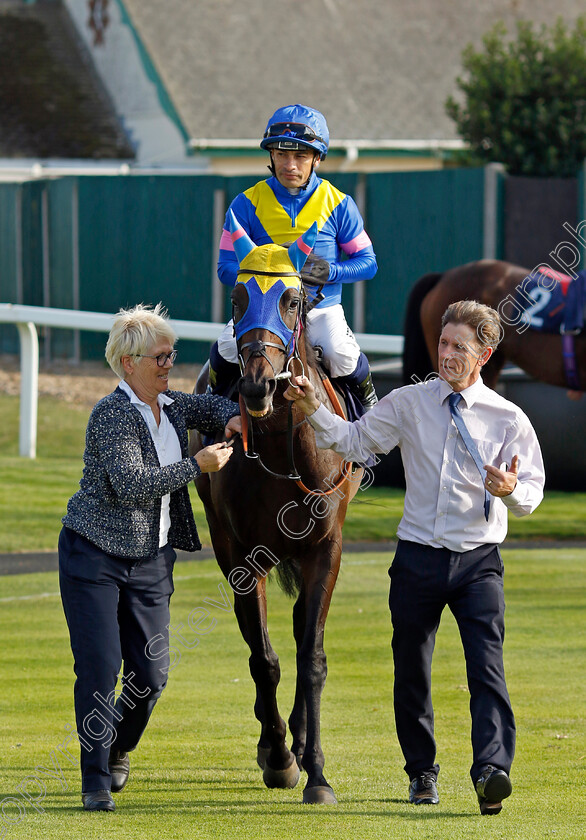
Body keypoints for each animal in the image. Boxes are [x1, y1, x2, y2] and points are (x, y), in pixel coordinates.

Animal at [189, 213, 360, 804]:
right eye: (238, 297)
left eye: (291, 298)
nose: (258, 385)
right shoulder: (242, 553)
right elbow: (262, 658)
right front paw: (281, 757)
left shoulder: (325, 548)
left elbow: (311, 658)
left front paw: (318, 773)